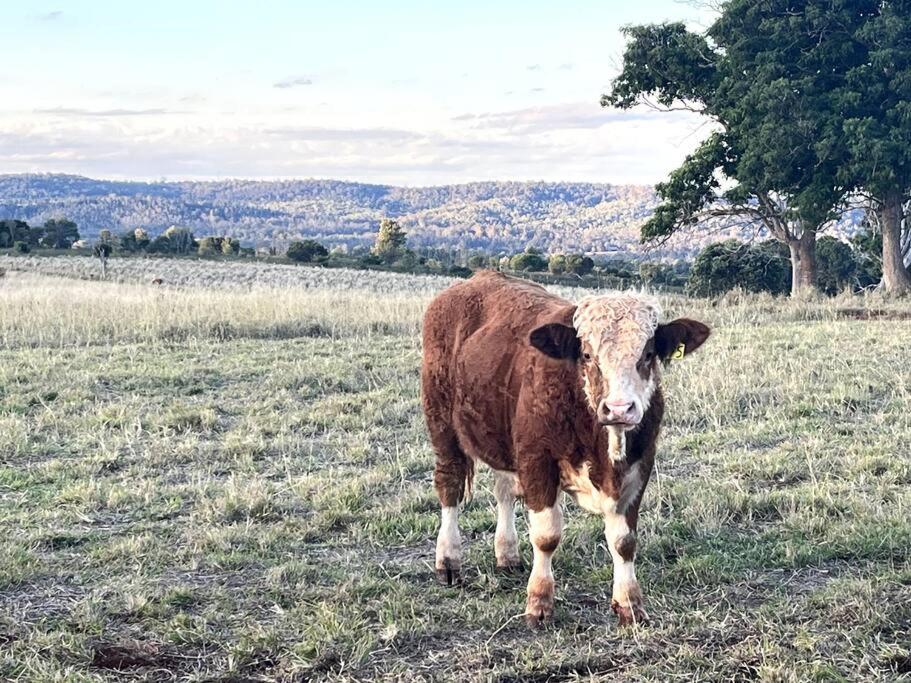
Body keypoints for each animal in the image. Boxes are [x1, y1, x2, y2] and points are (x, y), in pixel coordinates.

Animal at [422, 272, 712, 624]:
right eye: (587, 355)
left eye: (647, 353)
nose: (619, 408)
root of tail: (478, 277)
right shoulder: (537, 460)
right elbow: (546, 535)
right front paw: (539, 602)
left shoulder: (640, 465)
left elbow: (624, 541)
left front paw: (629, 602)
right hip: (442, 423)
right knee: (449, 485)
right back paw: (448, 560)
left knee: (504, 490)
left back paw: (507, 554)